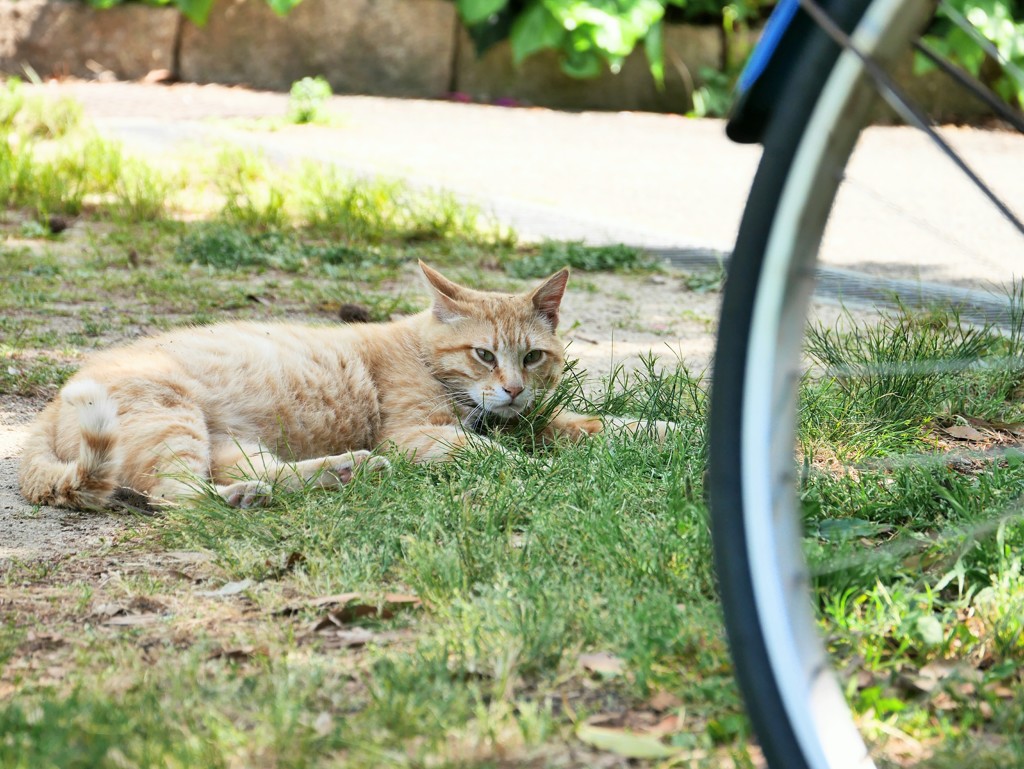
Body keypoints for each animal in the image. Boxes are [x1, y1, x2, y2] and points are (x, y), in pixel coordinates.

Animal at [19, 264, 667, 511]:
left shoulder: (532, 420)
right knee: (174, 495)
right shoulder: (414, 437)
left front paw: (663, 431)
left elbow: (599, 423)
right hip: (174, 420)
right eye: (484, 355)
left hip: (231, 444)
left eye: (532, 357)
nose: (511, 390)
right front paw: (548, 470)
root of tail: (47, 410)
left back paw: (343, 471)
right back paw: (249, 497)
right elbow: (495, 454)